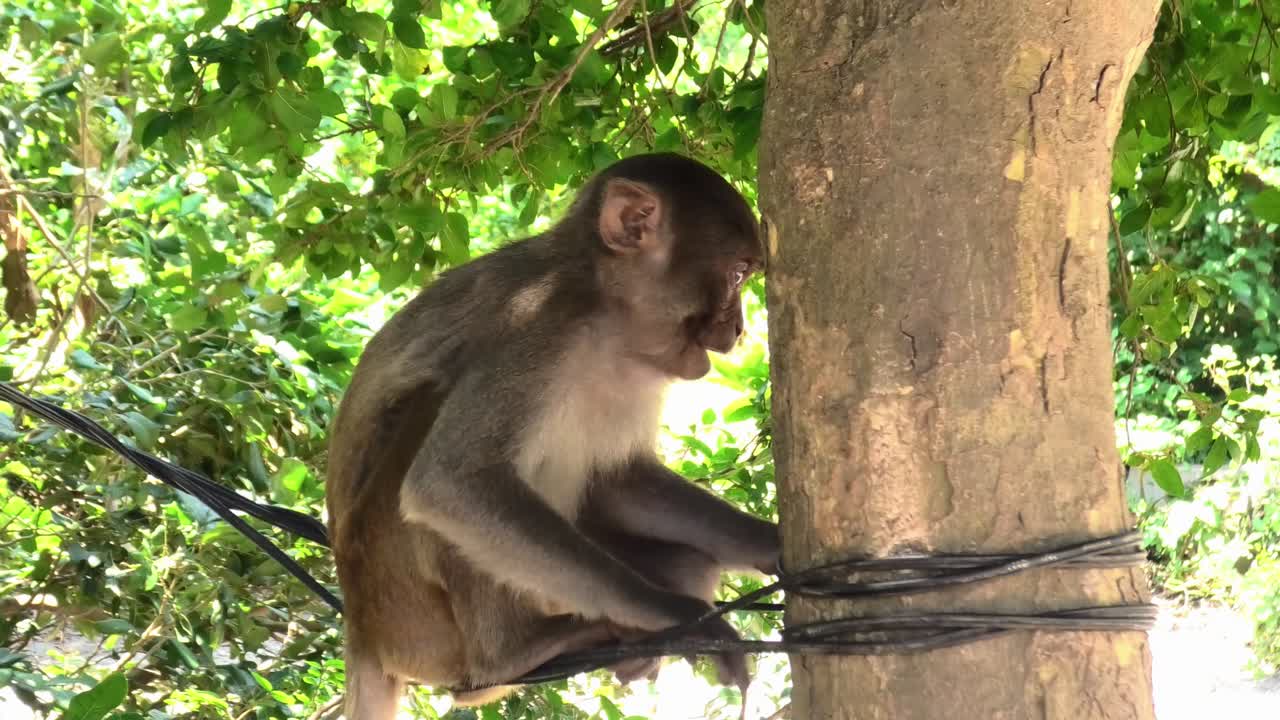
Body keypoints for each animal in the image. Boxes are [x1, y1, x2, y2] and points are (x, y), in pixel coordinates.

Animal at [324, 152, 781, 720]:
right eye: (737, 273)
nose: (738, 329)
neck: (605, 319)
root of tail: (361, 628)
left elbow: (618, 478)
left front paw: (767, 542)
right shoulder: (538, 326)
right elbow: (452, 483)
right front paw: (679, 616)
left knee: (687, 560)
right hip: (409, 618)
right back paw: (509, 656)